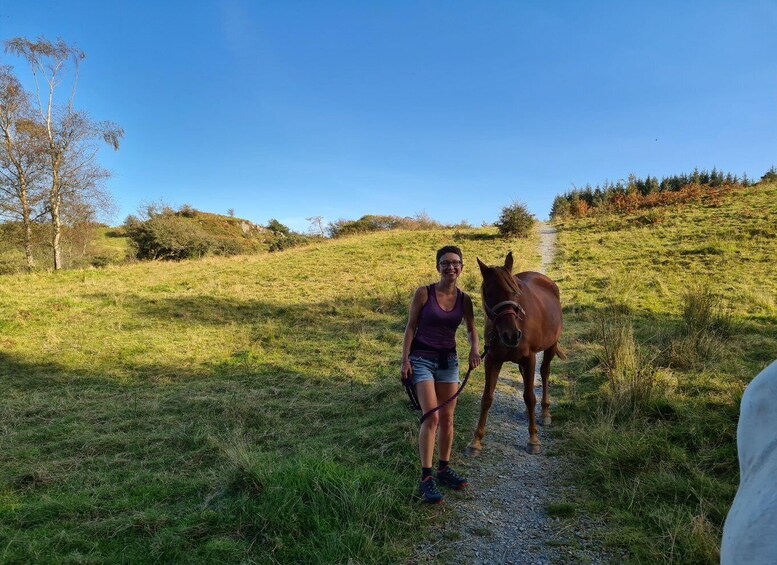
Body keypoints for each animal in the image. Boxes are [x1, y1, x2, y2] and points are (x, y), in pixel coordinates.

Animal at [460, 251, 564, 454]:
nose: (511, 335)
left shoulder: (530, 358)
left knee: (544, 373)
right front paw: (476, 440)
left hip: (550, 346)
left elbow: (530, 397)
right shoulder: (492, 359)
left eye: (515, 292)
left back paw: (544, 412)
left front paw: (533, 439)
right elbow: (487, 398)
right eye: (488, 293)